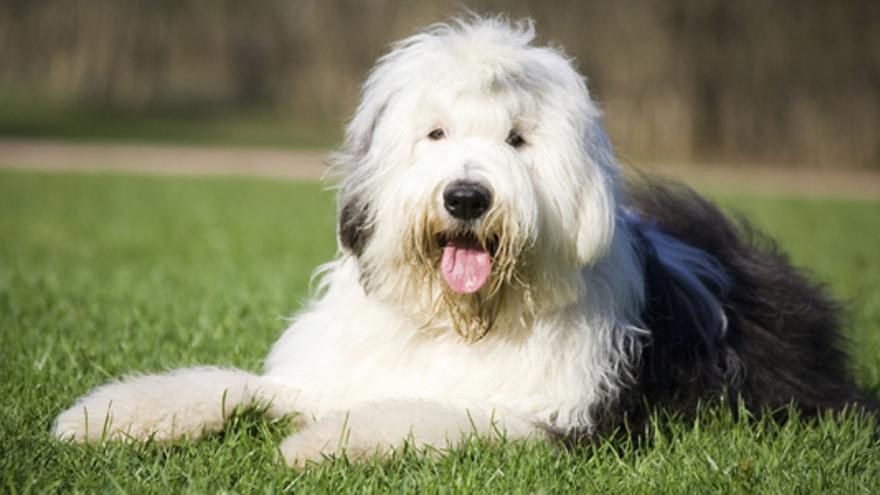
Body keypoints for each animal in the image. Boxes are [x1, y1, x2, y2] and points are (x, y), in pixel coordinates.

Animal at [55, 14, 872, 464]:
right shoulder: (325, 371)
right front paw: (105, 416)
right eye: (436, 133)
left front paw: (321, 441)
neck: (461, 320)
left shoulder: (557, 418)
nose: (468, 197)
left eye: (517, 139)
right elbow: (230, 384)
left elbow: (435, 412)